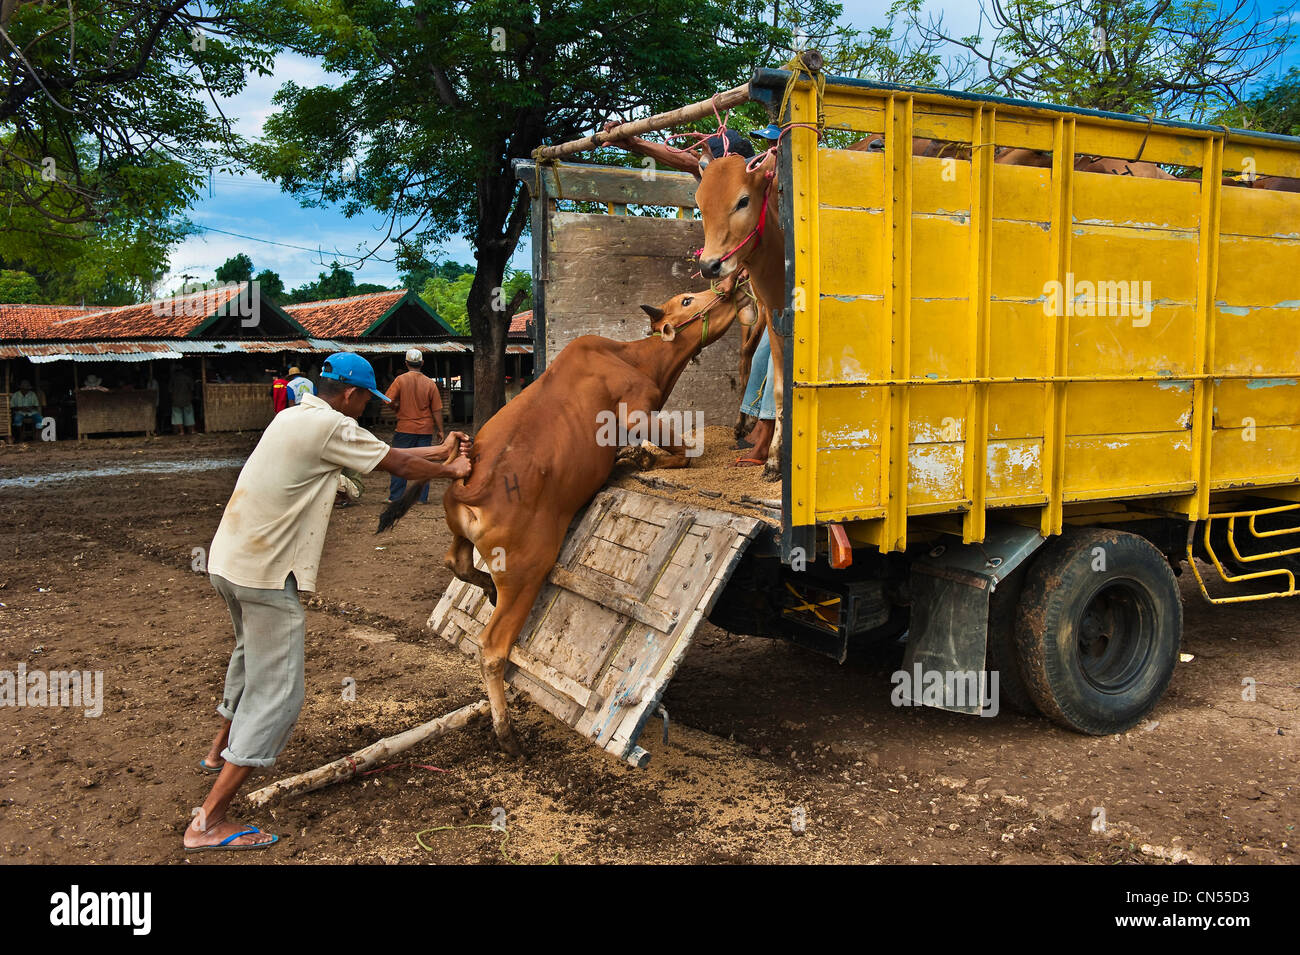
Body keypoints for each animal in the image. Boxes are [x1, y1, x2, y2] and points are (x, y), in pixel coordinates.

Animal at [379, 281, 743, 753]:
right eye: (685, 300)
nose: (728, 284)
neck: (632, 357)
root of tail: (470, 483)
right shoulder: (638, 413)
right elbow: (681, 452)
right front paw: (639, 459)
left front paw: (632, 459)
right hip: (528, 570)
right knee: (491, 648)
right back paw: (506, 733)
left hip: (463, 535)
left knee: (456, 562)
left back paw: (485, 589)